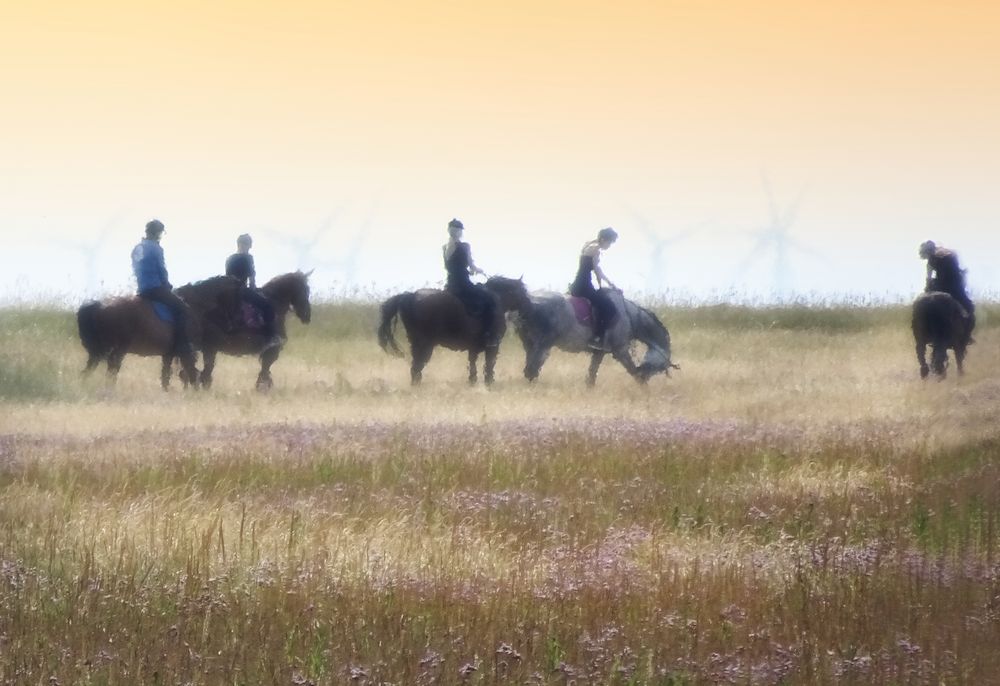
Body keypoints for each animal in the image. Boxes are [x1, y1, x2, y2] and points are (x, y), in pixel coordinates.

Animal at [76, 276, 242, 392]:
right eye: (238, 298)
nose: (231, 325)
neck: (194, 305)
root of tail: (98, 305)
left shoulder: (168, 354)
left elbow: (166, 377)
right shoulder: (186, 353)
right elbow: (190, 373)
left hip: (100, 353)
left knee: (89, 372)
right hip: (117, 351)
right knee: (111, 372)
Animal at [186, 272, 314, 392]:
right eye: (304, 290)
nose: (307, 316)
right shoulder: (272, 349)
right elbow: (265, 369)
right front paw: (262, 388)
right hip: (208, 348)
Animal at [376, 278, 532, 388]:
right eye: (523, 291)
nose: (529, 307)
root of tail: (410, 296)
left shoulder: (473, 348)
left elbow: (473, 365)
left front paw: (473, 382)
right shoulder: (492, 346)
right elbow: (489, 365)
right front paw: (489, 382)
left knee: (416, 367)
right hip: (423, 345)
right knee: (416, 366)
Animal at [512, 288, 676, 388]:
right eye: (658, 369)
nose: (645, 373)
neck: (629, 316)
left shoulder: (599, 352)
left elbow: (591, 376)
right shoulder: (621, 351)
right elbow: (633, 372)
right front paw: (645, 390)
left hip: (531, 345)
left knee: (530, 371)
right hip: (543, 346)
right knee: (531, 370)